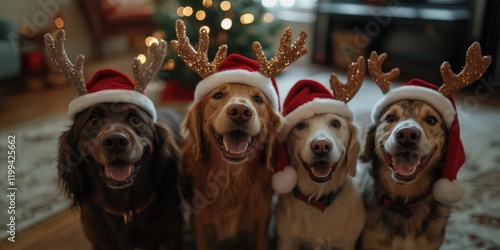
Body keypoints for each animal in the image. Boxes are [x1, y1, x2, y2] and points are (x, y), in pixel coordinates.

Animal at [272, 77, 366, 249]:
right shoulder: (287, 241)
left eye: (335, 123)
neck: (318, 199)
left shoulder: (347, 243)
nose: (321, 146)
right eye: (300, 125)